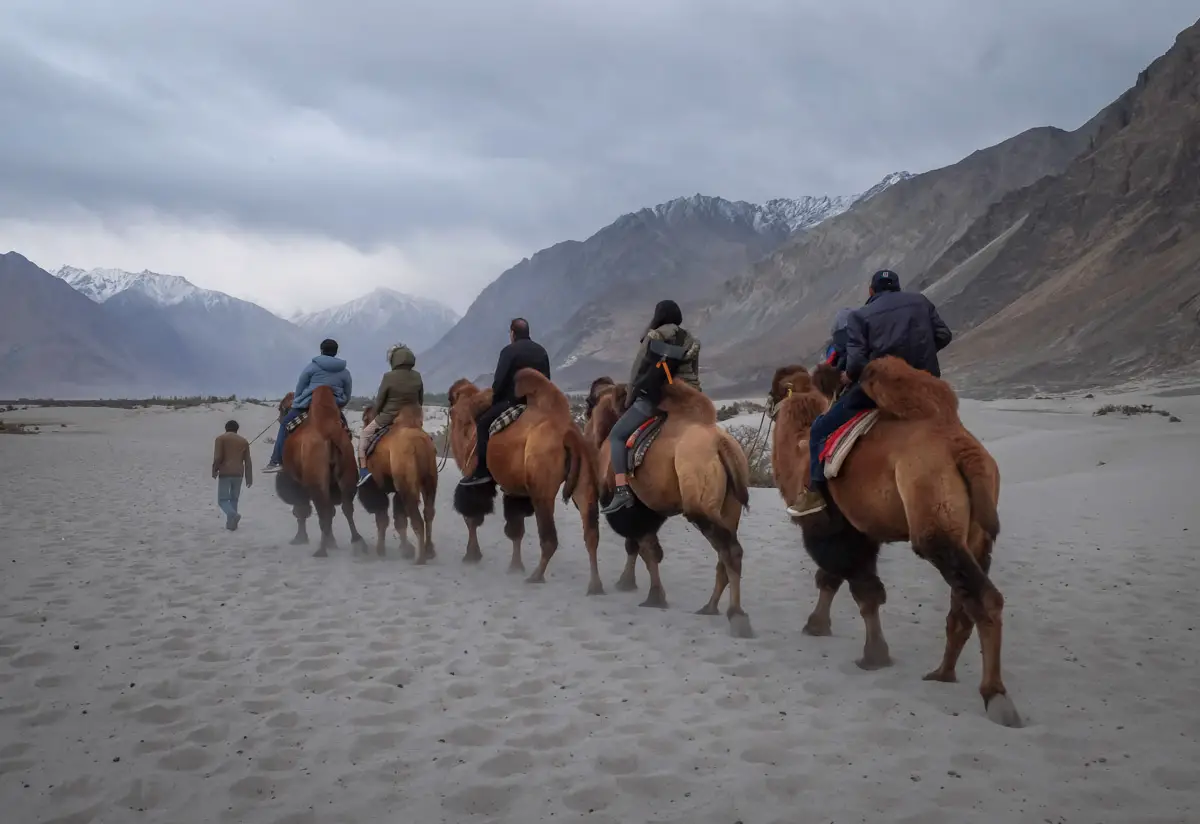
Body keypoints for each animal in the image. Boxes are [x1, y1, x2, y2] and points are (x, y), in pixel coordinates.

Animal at [355, 403, 441, 563]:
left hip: (407, 485)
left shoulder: (378, 485)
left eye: (364, 419)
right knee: (428, 512)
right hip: (430, 480)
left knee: (416, 518)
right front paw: (406, 549)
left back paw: (420, 558)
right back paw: (429, 551)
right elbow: (400, 519)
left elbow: (383, 517)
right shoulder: (397, 490)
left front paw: (381, 550)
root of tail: (419, 444)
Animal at [446, 367, 604, 592]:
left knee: (549, 538)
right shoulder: (514, 490)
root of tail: (570, 435)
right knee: (591, 533)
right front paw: (515, 566)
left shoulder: (472, 475)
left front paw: (472, 555)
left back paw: (536, 575)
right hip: (586, 480)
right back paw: (595, 585)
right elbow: (516, 528)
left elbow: (472, 516)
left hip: (541, 490)